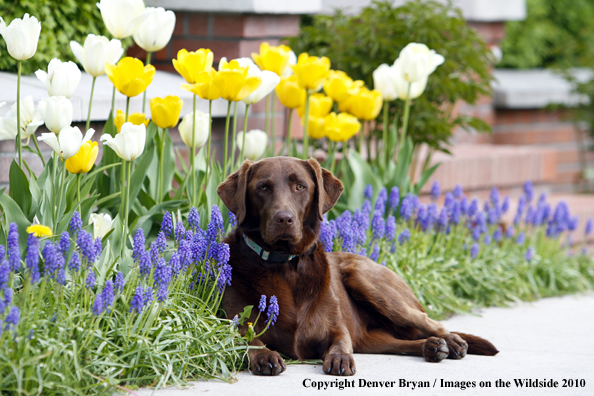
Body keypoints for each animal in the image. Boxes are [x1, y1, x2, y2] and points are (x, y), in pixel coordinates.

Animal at [216, 156, 494, 376]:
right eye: (263, 187)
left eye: (300, 186)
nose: (284, 218)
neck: (284, 265)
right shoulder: (233, 321)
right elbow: (248, 339)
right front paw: (265, 355)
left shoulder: (336, 328)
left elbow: (340, 342)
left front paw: (340, 358)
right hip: (371, 337)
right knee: (400, 342)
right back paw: (432, 346)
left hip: (367, 281)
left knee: (429, 321)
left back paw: (451, 341)